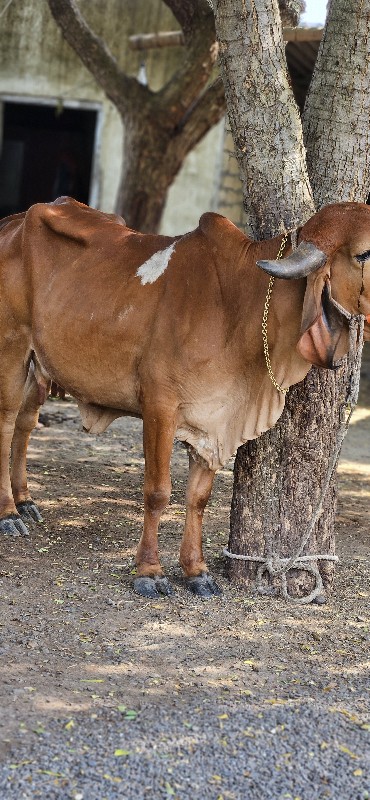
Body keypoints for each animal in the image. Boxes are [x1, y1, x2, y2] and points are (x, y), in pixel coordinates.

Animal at [0, 197, 370, 596]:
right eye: (363, 254)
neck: (239, 304)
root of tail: (12, 222)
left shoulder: (215, 419)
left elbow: (198, 498)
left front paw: (196, 571)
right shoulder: (159, 406)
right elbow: (158, 492)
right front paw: (149, 572)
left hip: (38, 366)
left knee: (25, 424)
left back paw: (25, 501)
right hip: (12, 349)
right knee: (6, 424)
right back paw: (8, 514)